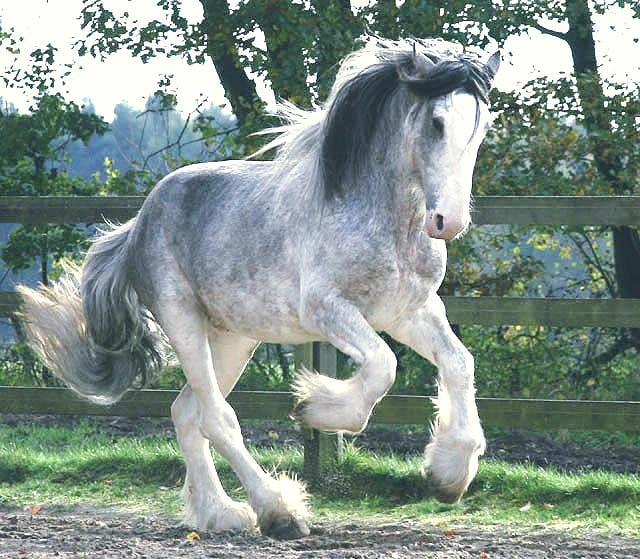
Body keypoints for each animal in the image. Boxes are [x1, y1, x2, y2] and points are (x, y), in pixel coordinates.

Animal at [18, 38, 500, 540]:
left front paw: (448, 475)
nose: (449, 222)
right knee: (216, 417)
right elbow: (384, 366)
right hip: (184, 322)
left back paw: (218, 514)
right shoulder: (327, 310)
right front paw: (313, 407)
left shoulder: (409, 311)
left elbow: (458, 363)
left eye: (484, 125)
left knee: (187, 413)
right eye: (437, 121)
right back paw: (277, 511)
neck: (378, 216)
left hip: (232, 338)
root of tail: (138, 223)